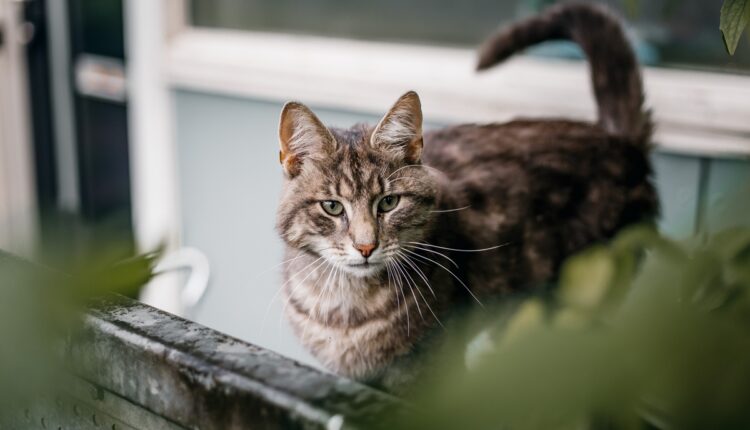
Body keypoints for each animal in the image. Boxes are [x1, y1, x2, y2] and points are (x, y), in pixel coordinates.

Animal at [274, 2, 656, 394]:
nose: (366, 247)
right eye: (332, 207)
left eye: (389, 202)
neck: (347, 304)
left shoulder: (431, 371)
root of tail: (619, 141)